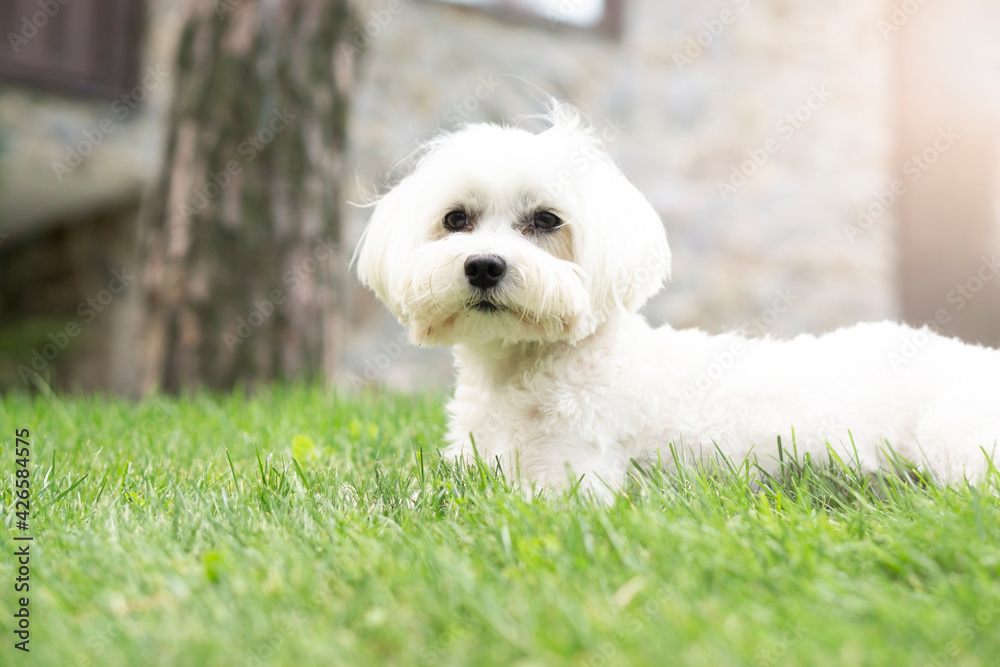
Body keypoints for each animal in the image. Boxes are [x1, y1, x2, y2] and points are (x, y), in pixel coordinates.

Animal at [356, 104, 996, 498]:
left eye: (546, 220)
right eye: (455, 220)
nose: (484, 265)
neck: (526, 370)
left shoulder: (574, 476)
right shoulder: (469, 465)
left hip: (955, 446)